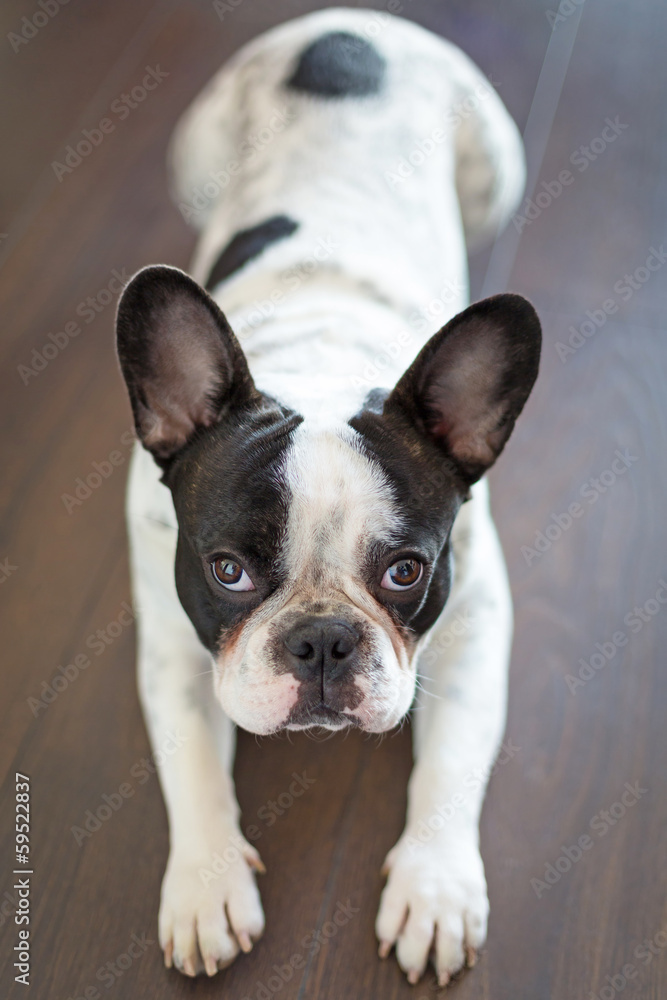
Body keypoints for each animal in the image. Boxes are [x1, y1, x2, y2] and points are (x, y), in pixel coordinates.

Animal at [116, 7, 544, 988]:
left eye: (405, 572)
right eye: (227, 571)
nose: (321, 640)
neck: (316, 354)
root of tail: (346, 24)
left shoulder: (475, 624)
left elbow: (451, 765)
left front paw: (433, 888)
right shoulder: (170, 642)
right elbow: (189, 761)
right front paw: (206, 885)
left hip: (495, 169)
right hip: (194, 163)